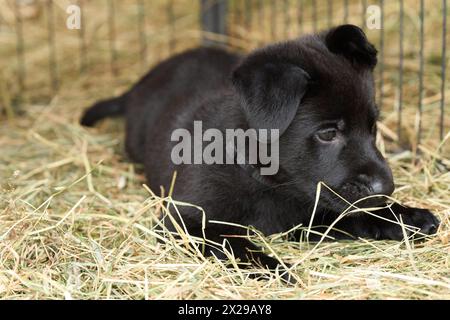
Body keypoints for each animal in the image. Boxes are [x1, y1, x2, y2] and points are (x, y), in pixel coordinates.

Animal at [81, 25, 440, 280]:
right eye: (327, 133)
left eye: (372, 127)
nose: (386, 188)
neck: (267, 182)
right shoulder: (184, 221)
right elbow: (232, 244)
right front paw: (272, 268)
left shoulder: (310, 211)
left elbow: (351, 214)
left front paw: (405, 216)